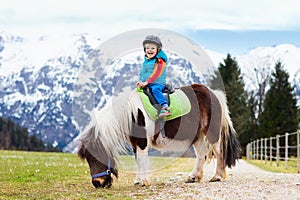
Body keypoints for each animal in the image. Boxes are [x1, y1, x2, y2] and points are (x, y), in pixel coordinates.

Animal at [78, 83, 241, 188]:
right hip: (198, 136)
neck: (131, 113)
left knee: (219, 152)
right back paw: (193, 177)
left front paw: (143, 181)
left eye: (94, 158)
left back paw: (217, 177)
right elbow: (138, 160)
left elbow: (142, 160)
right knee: (201, 155)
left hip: (212, 134)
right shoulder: (136, 143)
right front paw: (138, 180)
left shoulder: (142, 142)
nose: (98, 184)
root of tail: (215, 94)